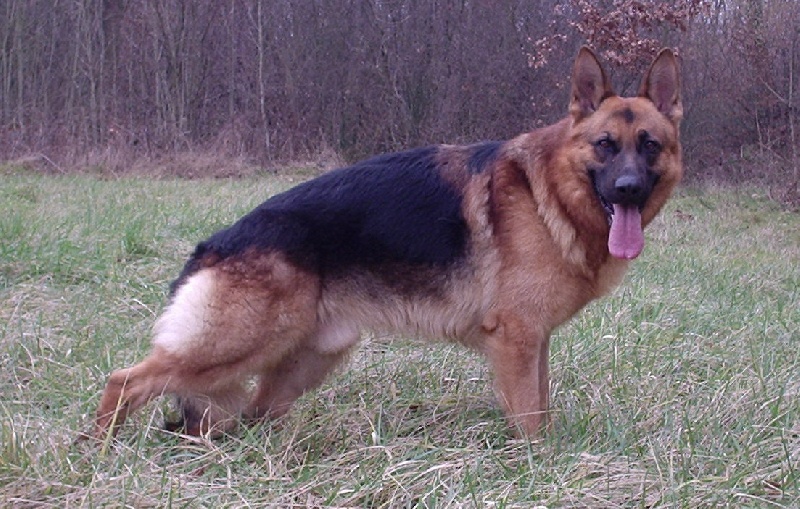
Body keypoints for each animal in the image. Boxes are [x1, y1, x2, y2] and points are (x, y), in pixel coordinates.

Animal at [92, 47, 683, 440]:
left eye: (649, 145)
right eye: (604, 145)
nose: (628, 189)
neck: (550, 195)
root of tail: (213, 244)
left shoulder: (534, 341)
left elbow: (541, 406)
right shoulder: (517, 339)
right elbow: (531, 419)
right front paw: (539, 468)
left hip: (303, 363)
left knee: (252, 415)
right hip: (235, 346)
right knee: (123, 381)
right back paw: (96, 452)